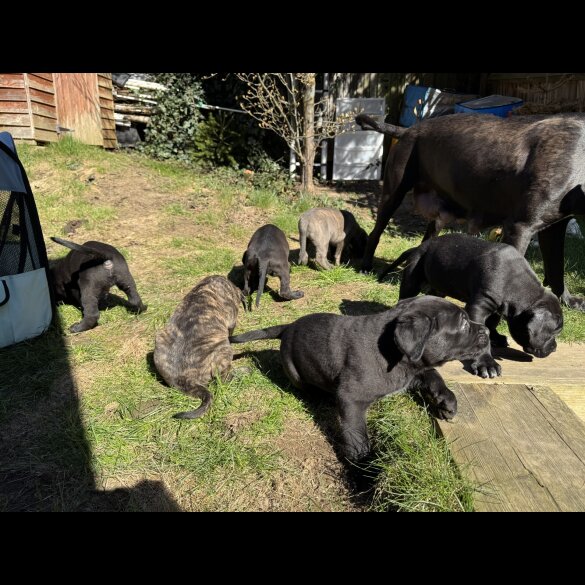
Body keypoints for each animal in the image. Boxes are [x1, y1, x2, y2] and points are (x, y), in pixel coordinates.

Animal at [230, 296, 490, 460]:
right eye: (463, 324)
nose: (487, 331)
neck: (392, 353)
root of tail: (288, 326)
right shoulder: (351, 399)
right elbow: (357, 438)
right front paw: (363, 470)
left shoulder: (413, 371)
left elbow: (434, 376)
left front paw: (446, 402)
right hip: (295, 372)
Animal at [354, 110, 584, 310]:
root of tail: (408, 130)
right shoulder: (521, 226)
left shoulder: (554, 229)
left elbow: (556, 267)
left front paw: (567, 301)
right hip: (393, 194)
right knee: (376, 232)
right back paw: (365, 265)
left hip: (438, 216)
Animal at [376, 233, 564, 374]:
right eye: (555, 332)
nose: (555, 348)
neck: (516, 285)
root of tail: (419, 246)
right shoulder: (478, 307)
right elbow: (484, 332)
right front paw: (486, 363)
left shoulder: (496, 307)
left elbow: (492, 323)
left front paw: (497, 337)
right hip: (413, 276)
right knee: (406, 295)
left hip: (440, 284)